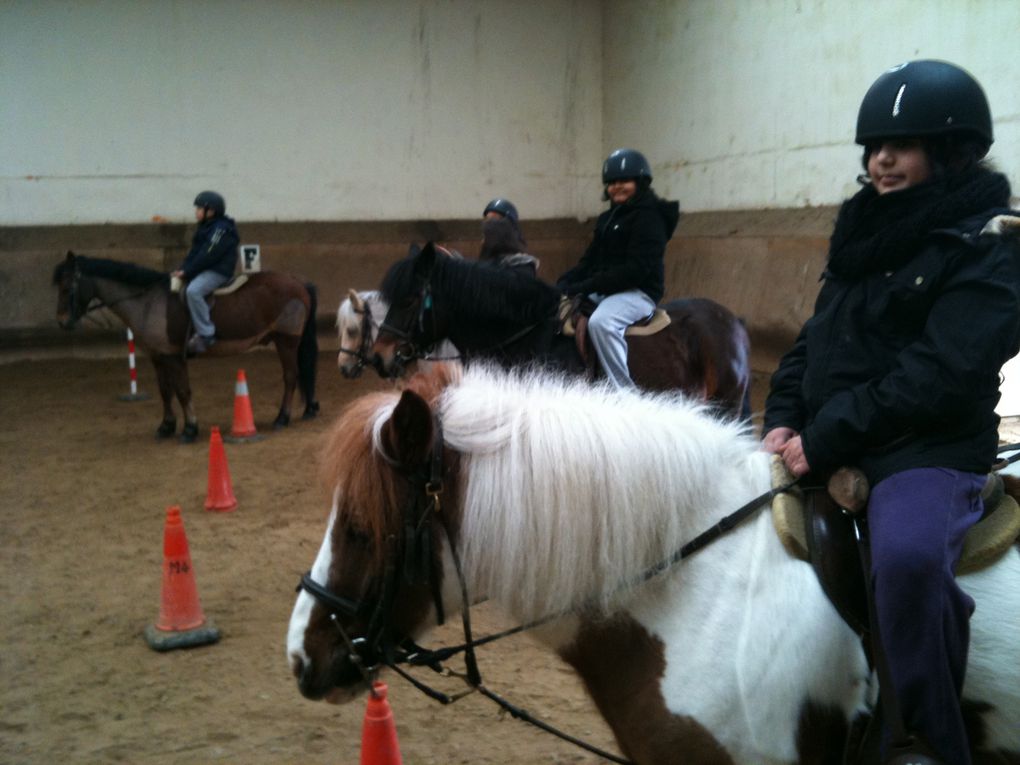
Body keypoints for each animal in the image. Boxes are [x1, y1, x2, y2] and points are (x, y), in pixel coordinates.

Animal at [54, 251, 318, 442]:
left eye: (67, 287)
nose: (62, 321)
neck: (149, 302)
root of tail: (298, 282)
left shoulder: (173, 357)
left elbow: (182, 391)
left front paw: (190, 428)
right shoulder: (157, 357)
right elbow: (165, 391)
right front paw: (166, 426)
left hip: (286, 340)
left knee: (291, 376)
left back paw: (282, 418)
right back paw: (309, 409)